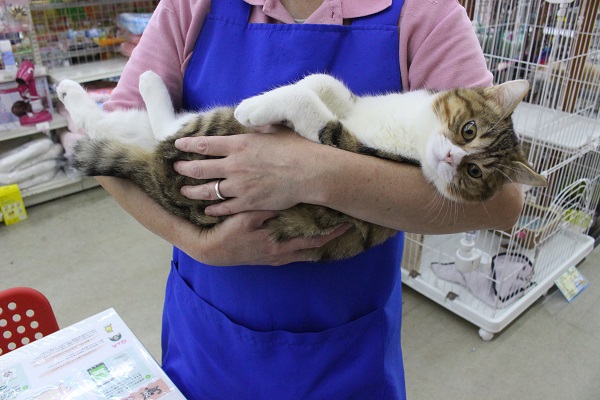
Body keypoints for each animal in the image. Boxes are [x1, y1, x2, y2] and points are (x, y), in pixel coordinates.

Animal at [57, 70, 548, 260]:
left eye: (475, 173)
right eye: (468, 130)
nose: (451, 158)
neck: (412, 135)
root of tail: (161, 180)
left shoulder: (344, 145)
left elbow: (313, 109)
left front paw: (259, 106)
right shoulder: (356, 107)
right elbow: (325, 84)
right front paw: (296, 87)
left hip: (200, 134)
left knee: (162, 129)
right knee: (125, 126)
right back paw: (75, 98)